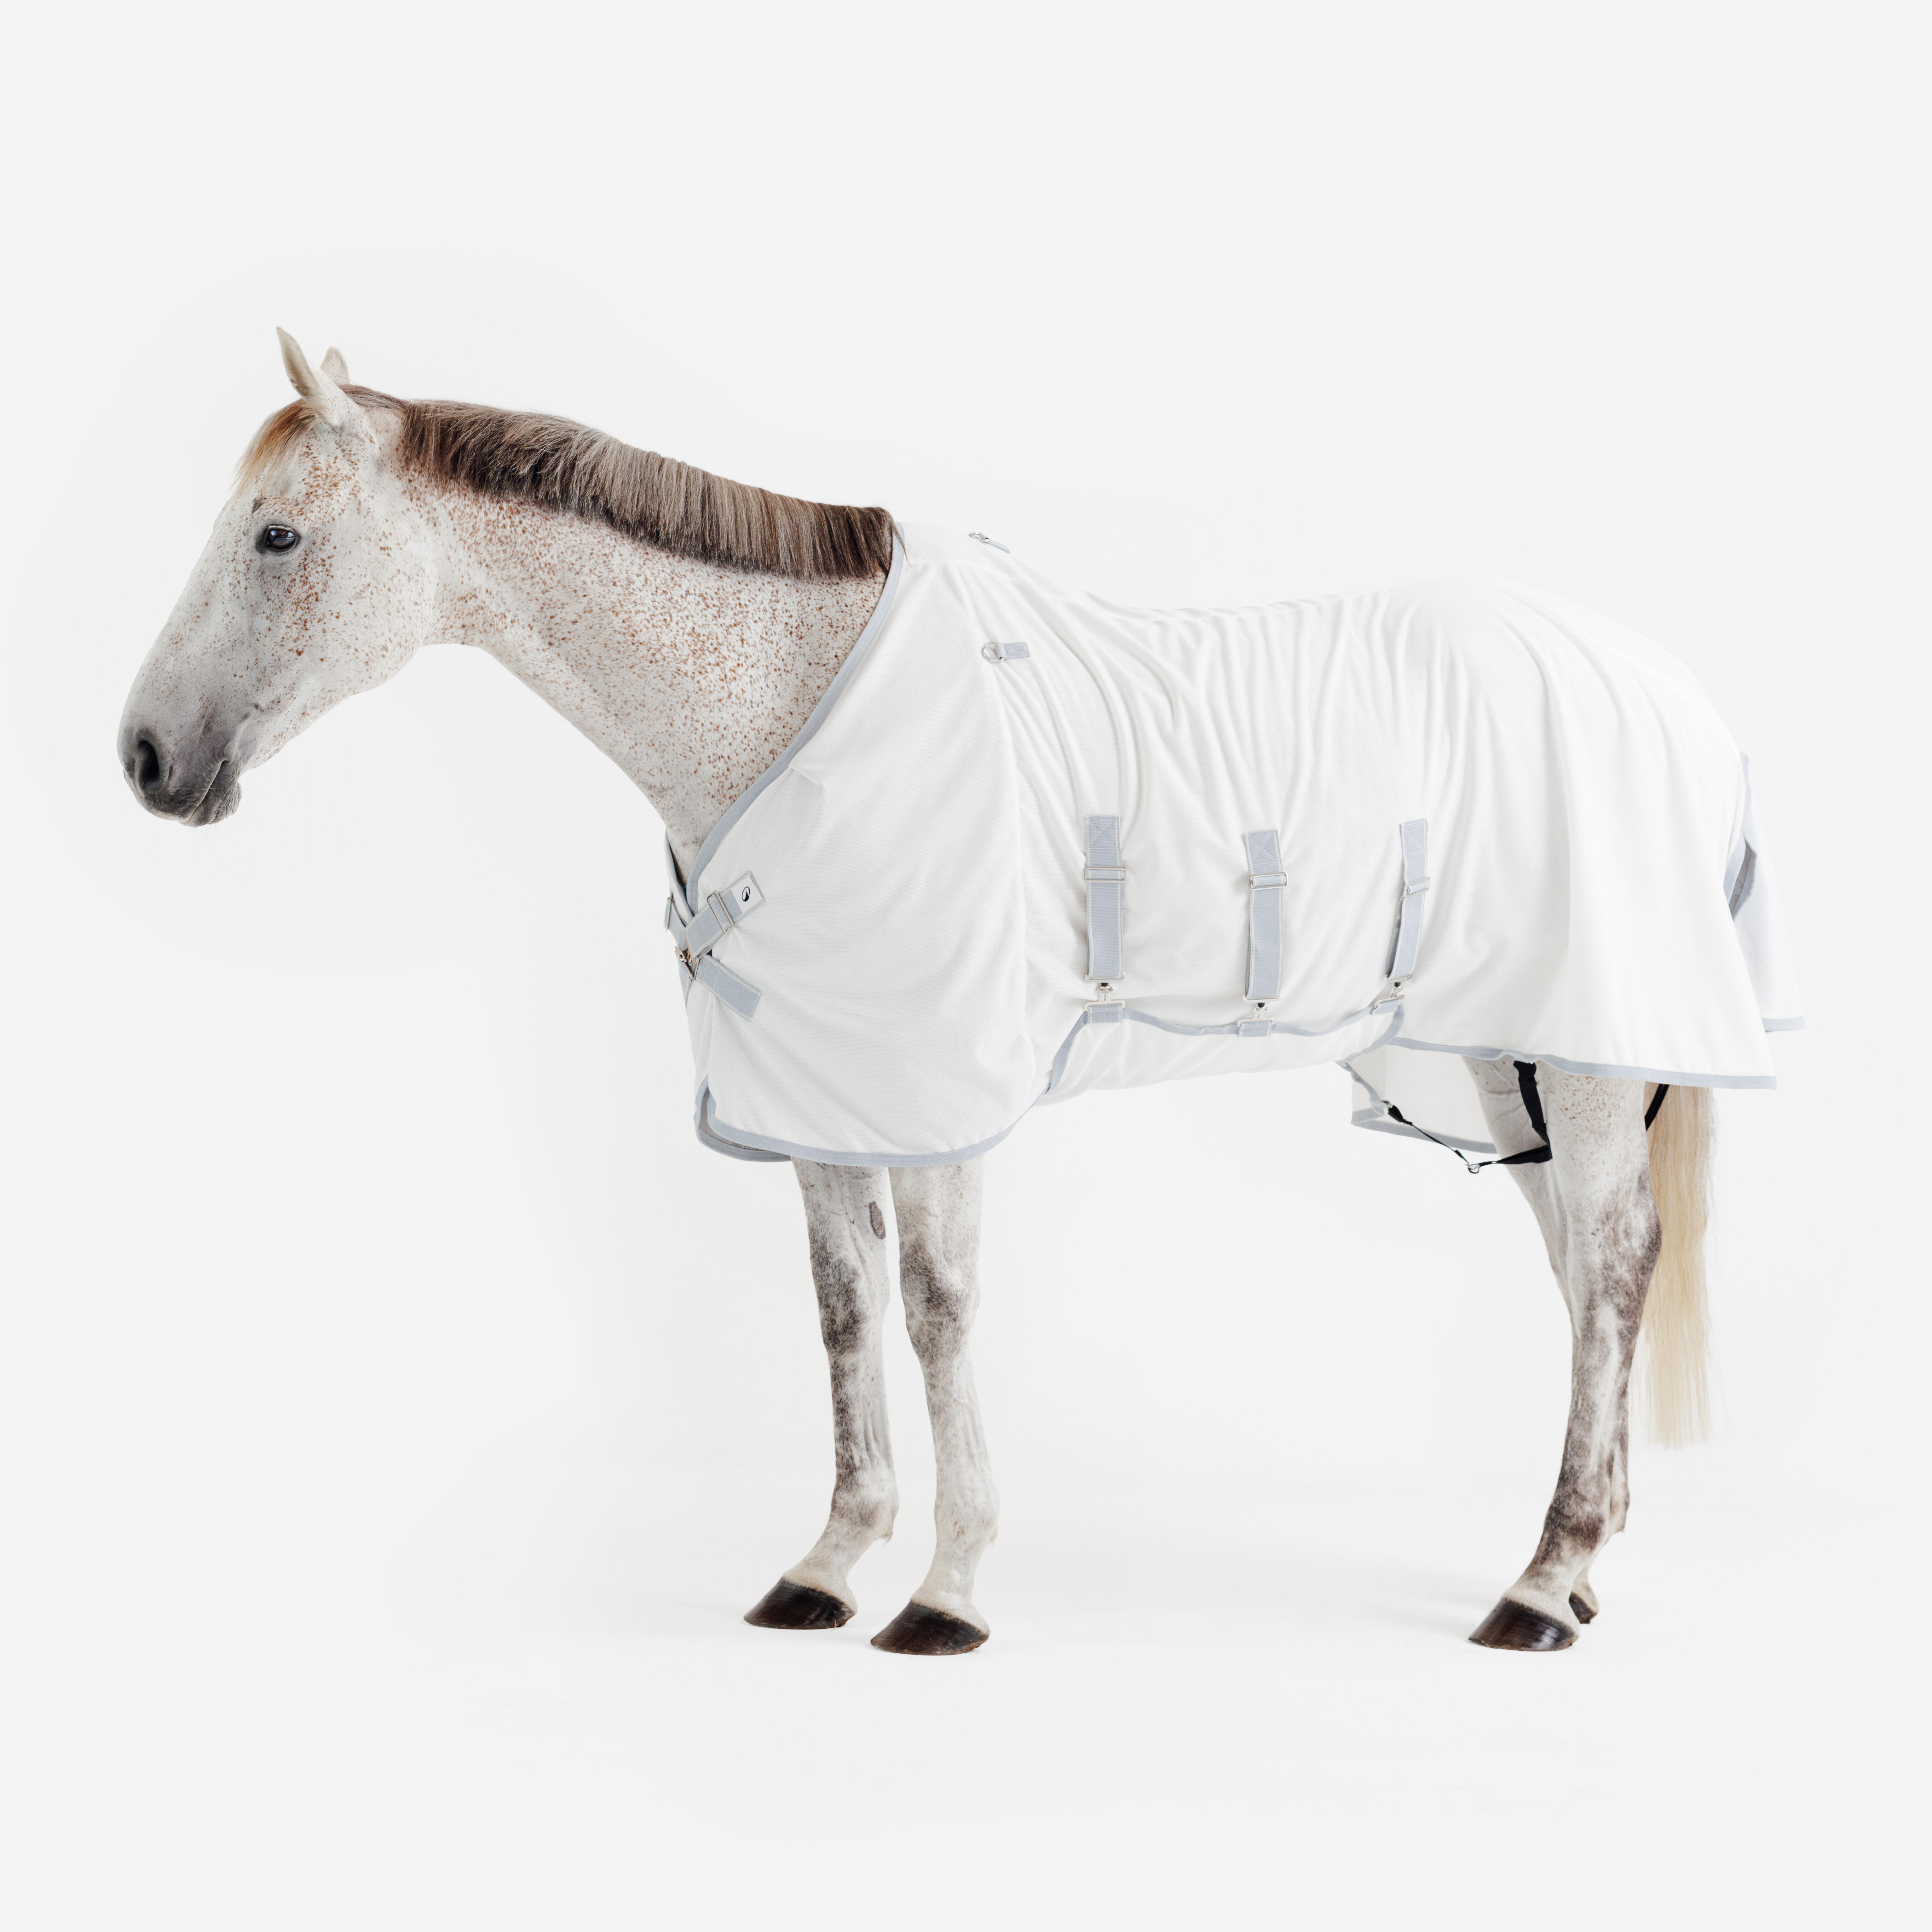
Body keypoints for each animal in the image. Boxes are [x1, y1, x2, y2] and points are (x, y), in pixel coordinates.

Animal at [119, 330, 1779, 1657]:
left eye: (275, 535)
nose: (143, 758)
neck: (790, 706)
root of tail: (1669, 693)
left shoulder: (935, 1090)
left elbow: (935, 1310)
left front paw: (949, 1591)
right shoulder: (819, 1096)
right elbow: (843, 1311)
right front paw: (828, 1565)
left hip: (1578, 1060)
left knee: (1611, 1270)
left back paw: (1542, 1584)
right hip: (1511, 1070)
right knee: (1587, 1274)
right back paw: (1580, 1568)